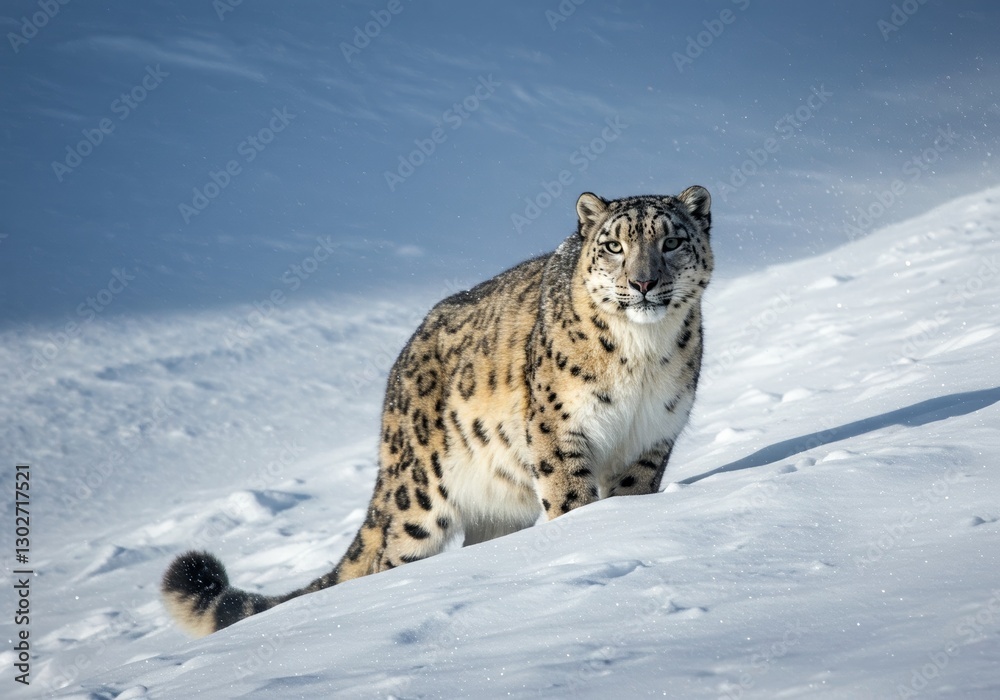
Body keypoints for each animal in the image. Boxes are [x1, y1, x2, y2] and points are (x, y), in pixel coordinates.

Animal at [162, 185, 714, 636]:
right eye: (614, 246)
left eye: (671, 242)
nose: (642, 283)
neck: (640, 356)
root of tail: (398, 370)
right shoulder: (559, 430)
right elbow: (571, 498)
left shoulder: (652, 436)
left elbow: (631, 494)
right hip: (418, 500)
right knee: (387, 559)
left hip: (498, 504)